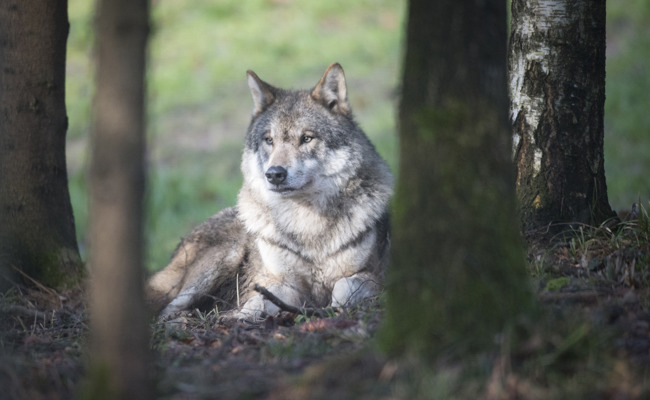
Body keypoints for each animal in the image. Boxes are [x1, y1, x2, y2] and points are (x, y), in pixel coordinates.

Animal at [146, 63, 394, 320]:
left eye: (307, 138)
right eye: (269, 140)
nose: (274, 174)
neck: (307, 225)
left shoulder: (372, 276)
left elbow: (344, 287)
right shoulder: (279, 282)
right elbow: (257, 302)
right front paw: (241, 317)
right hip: (221, 259)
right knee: (166, 308)